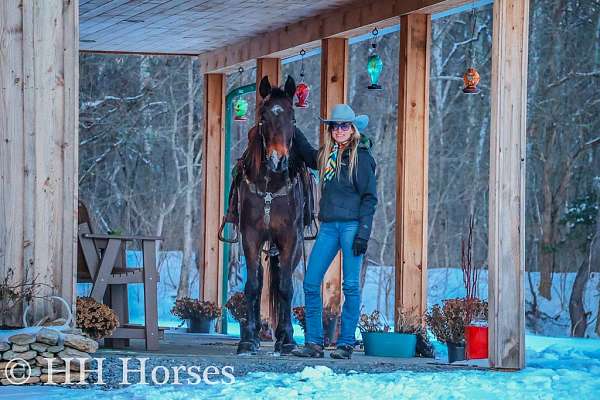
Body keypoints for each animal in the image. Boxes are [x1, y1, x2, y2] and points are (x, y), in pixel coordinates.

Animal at [234, 76, 308, 356]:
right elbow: (254, 285)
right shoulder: (250, 236)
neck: (271, 185)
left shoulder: (290, 238)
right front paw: (248, 338)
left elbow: (286, 286)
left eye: (292, 117)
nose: (278, 160)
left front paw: (287, 339)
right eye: (264, 117)